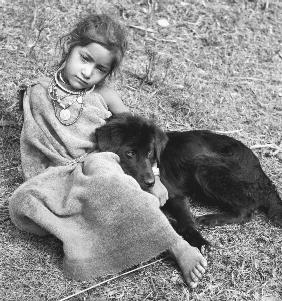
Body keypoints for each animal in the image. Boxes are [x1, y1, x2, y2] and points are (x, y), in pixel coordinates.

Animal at [95, 112, 282, 248]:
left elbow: (185, 219)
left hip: (204, 168)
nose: (150, 182)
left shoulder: (174, 194)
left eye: (149, 153)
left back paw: (211, 219)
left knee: (247, 210)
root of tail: (261, 173)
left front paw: (199, 241)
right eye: (130, 154)